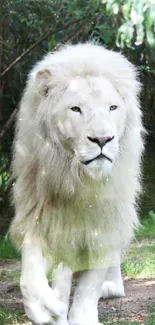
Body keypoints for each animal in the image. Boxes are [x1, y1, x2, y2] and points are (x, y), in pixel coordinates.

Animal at [9, 43, 144, 324]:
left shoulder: (103, 221)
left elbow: (88, 288)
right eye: (75, 109)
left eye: (112, 108)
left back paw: (112, 287)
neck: (78, 179)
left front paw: (83, 317)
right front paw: (43, 309)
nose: (102, 139)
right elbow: (31, 269)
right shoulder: (37, 210)